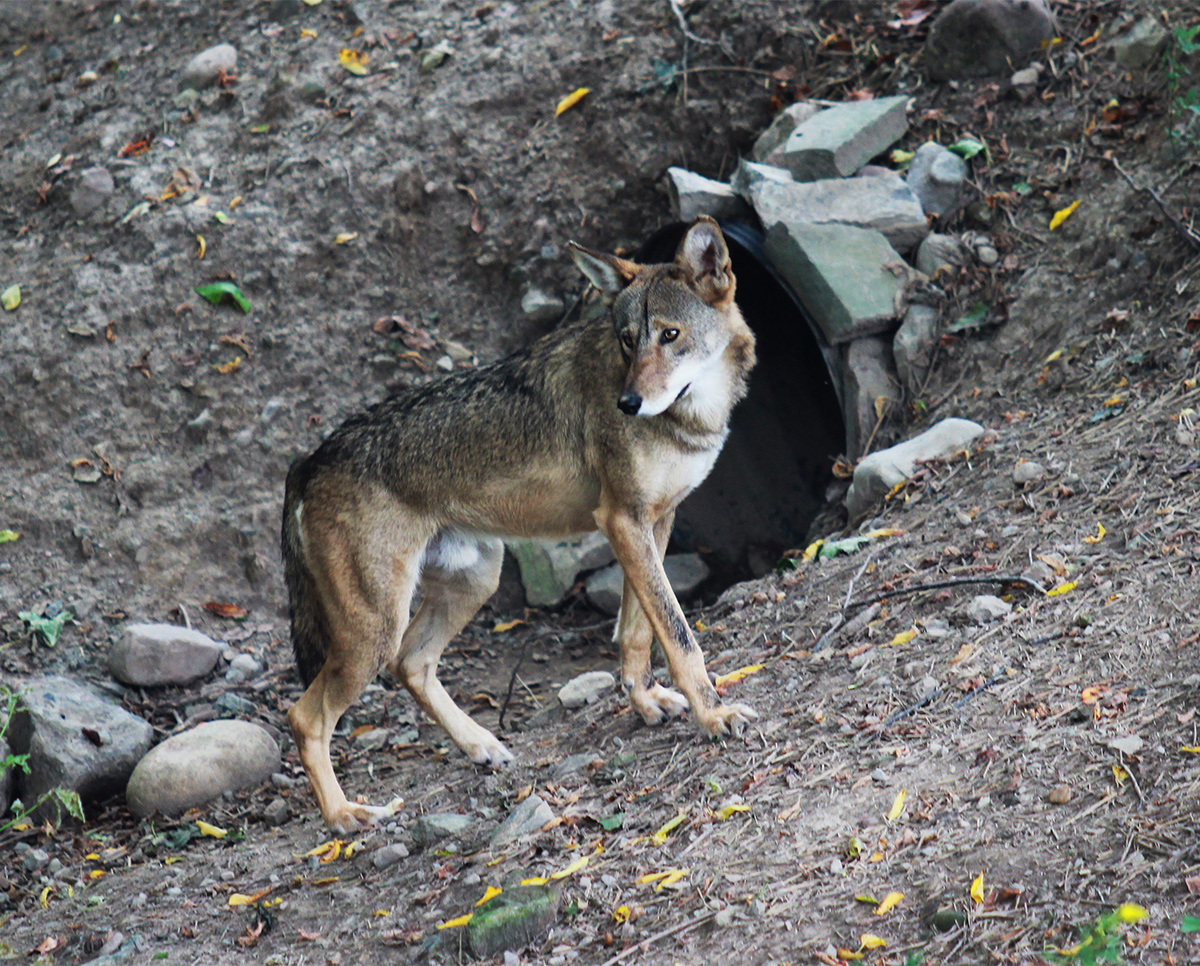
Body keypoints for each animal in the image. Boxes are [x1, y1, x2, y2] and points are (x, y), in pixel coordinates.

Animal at [282, 217, 758, 832]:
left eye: (670, 335)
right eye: (629, 340)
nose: (628, 402)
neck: (693, 415)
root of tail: (308, 460)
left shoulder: (653, 522)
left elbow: (636, 632)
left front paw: (646, 703)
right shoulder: (622, 521)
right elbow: (679, 637)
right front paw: (714, 714)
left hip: (474, 582)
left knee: (412, 664)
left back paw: (481, 746)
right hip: (374, 629)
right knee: (304, 715)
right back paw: (343, 815)